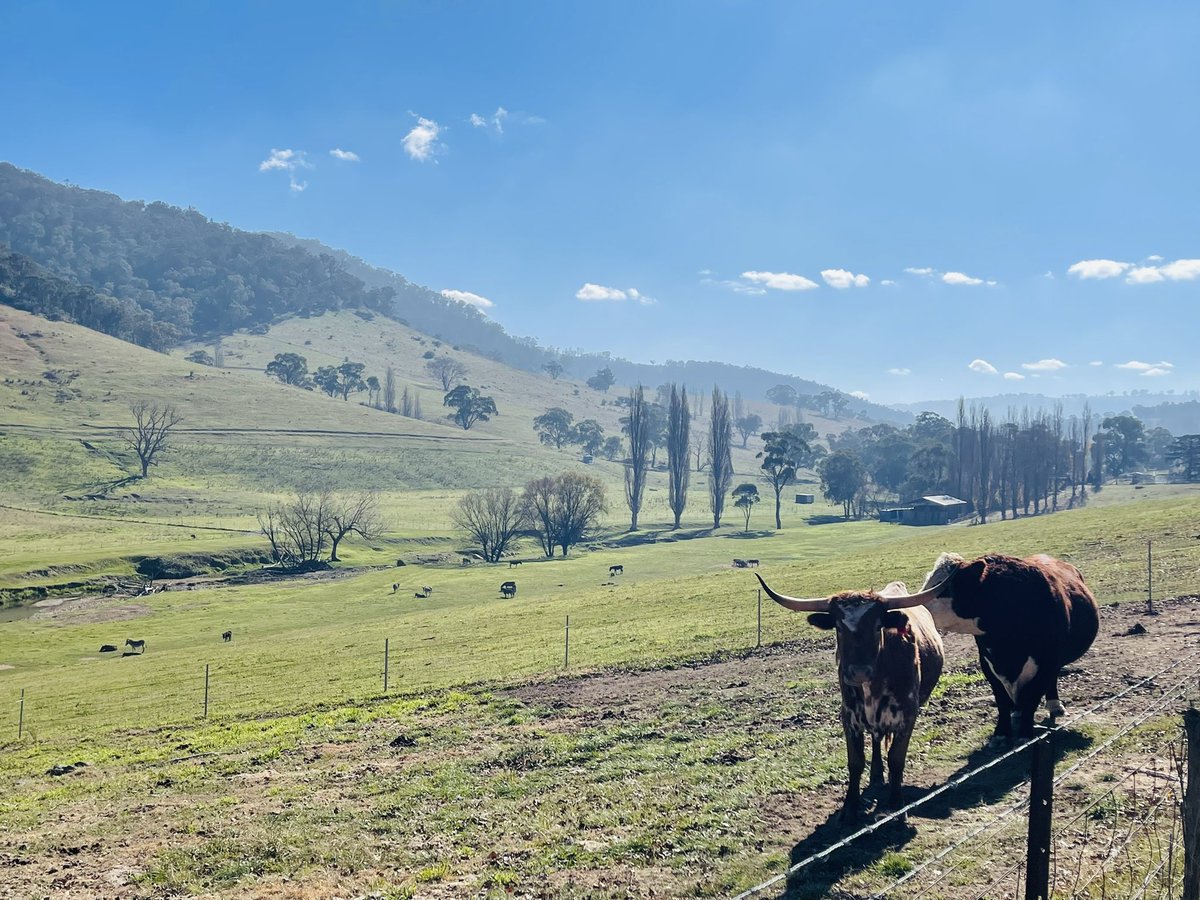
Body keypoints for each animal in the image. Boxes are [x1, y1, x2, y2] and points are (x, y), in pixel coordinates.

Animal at [758, 578, 945, 825]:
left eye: (877, 625)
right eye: (838, 627)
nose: (858, 672)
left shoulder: (908, 715)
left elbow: (896, 759)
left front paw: (897, 806)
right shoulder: (849, 716)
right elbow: (855, 762)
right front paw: (850, 807)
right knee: (876, 739)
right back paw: (876, 774)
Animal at [888, 554, 1099, 744]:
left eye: (940, 586)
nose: (911, 611)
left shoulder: (1047, 662)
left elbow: (1032, 696)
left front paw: (1025, 733)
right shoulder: (988, 662)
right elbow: (1002, 700)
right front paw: (1001, 733)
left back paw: (1054, 705)